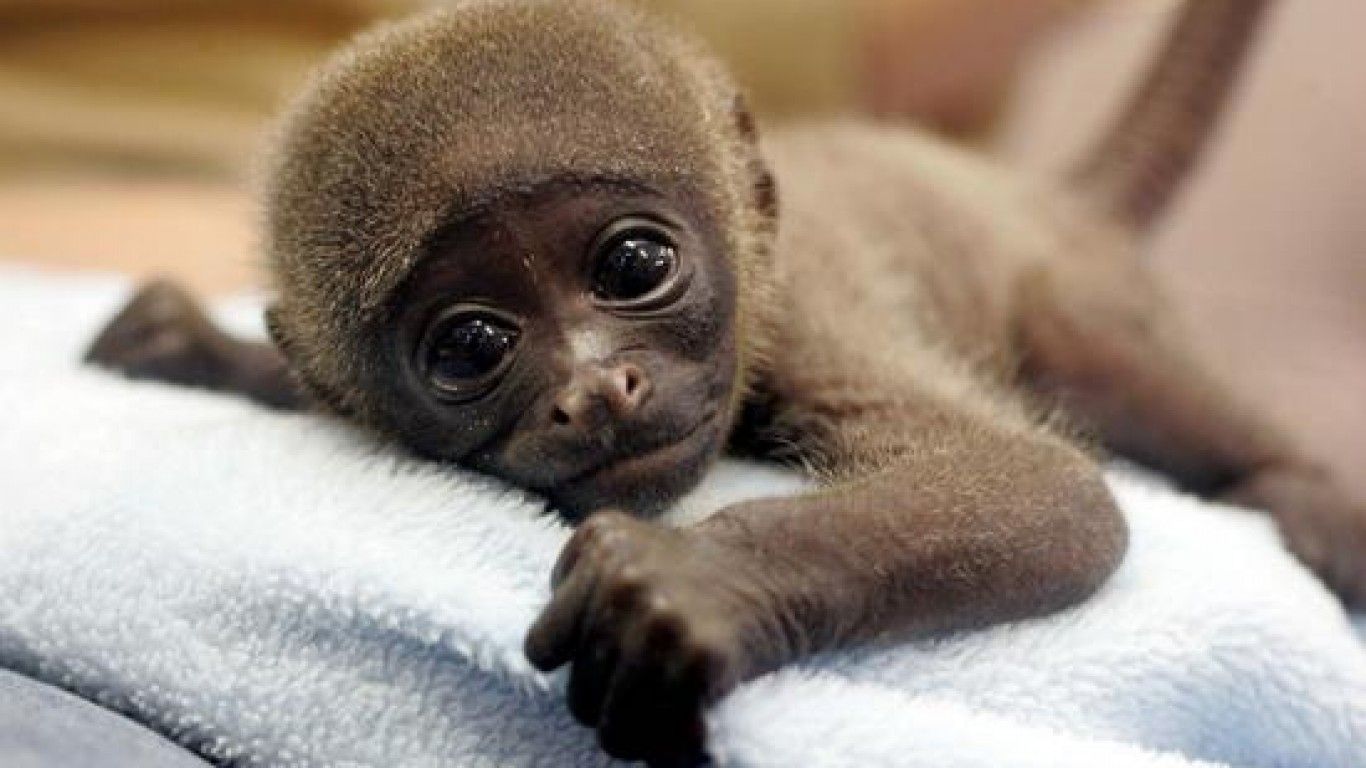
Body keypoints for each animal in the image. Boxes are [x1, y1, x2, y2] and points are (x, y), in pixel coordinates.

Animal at [84, 0, 1364, 764]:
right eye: (470, 347)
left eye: (633, 266)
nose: (596, 389)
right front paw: (211, 352)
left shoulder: (800, 317)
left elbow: (1045, 487)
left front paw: (689, 585)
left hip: (1074, 283)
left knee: (1100, 351)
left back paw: (1297, 494)